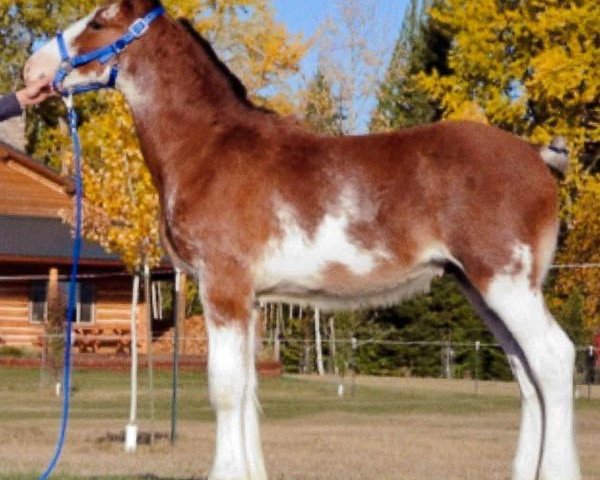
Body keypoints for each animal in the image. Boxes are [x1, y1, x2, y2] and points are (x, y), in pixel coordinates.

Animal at [24, 1, 580, 478]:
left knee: (553, 359)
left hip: (505, 282)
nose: (33, 69)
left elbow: (225, 389)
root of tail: (538, 157)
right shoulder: (251, 300)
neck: (208, 149)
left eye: (99, 21)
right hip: (481, 287)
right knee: (526, 373)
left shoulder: (224, 288)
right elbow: (247, 389)